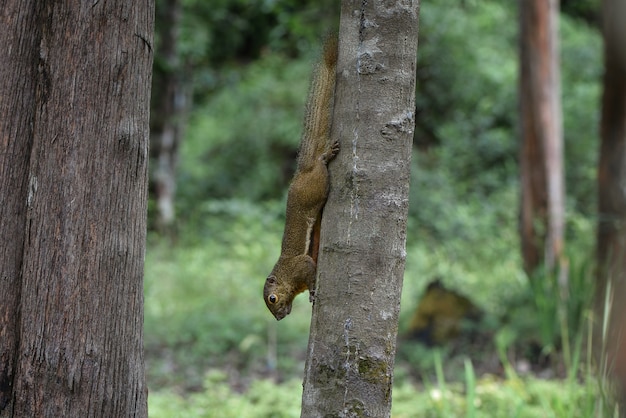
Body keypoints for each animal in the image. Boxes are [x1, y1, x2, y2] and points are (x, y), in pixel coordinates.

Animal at [264, 37, 338, 322]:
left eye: (272, 299)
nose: (279, 318)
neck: (286, 276)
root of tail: (300, 174)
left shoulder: (301, 266)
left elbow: (309, 268)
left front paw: (314, 292)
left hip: (316, 185)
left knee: (320, 167)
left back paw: (325, 156)